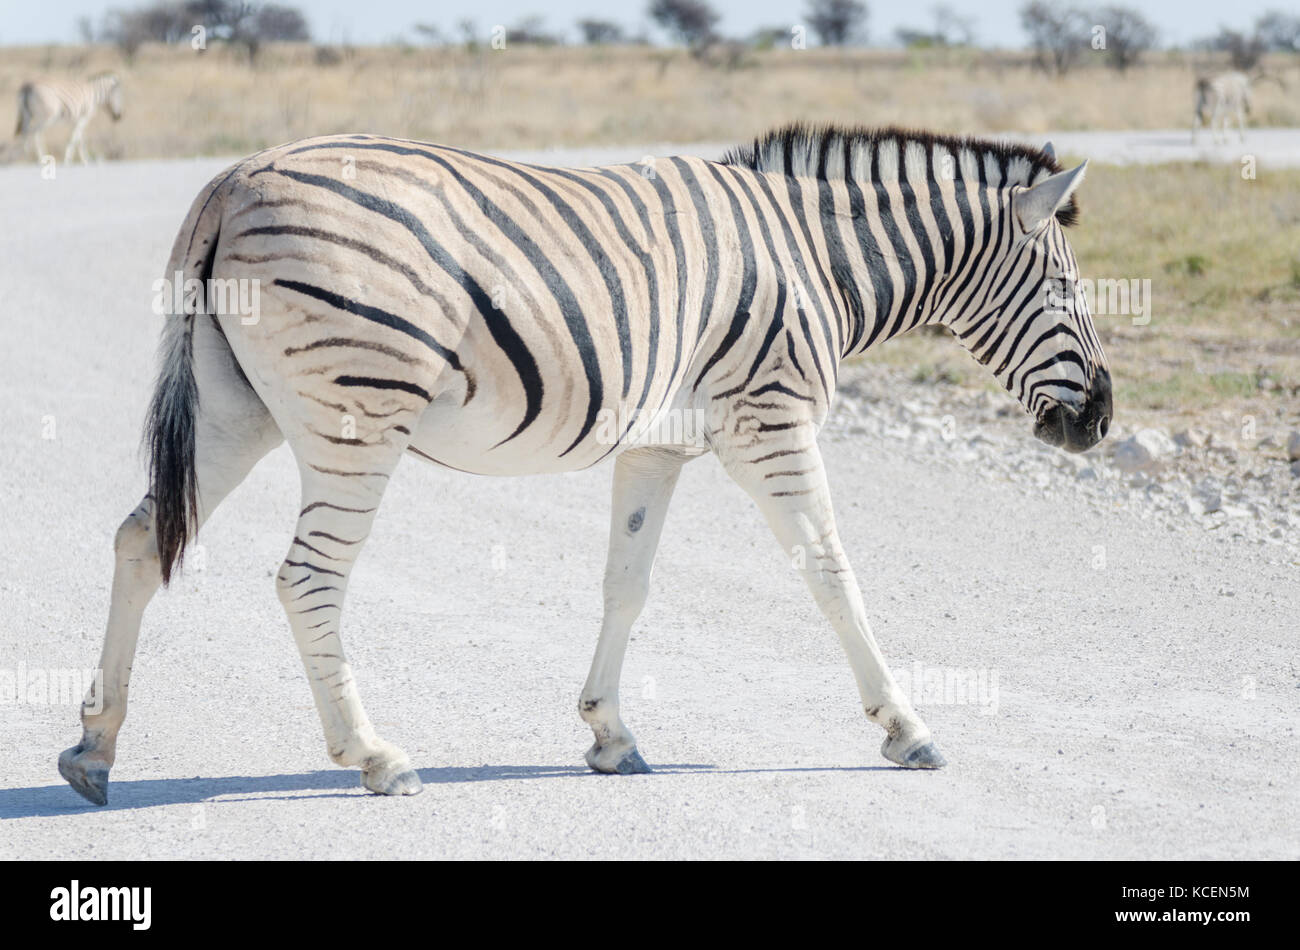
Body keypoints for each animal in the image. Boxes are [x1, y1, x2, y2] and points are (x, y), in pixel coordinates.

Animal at [61, 124, 1112, 800]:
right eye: (1067, 289)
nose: (1101, 421)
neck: (814, 254)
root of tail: (233, 178)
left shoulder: (655, 443)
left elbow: (626, 584)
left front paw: (610, 733)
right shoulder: (769, 420)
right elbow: (830, 571)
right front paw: (906, 727)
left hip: (235, 409)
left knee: (139, 539)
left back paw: (94, 749)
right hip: (359, 412)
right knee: (308, 578)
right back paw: (374, 755)